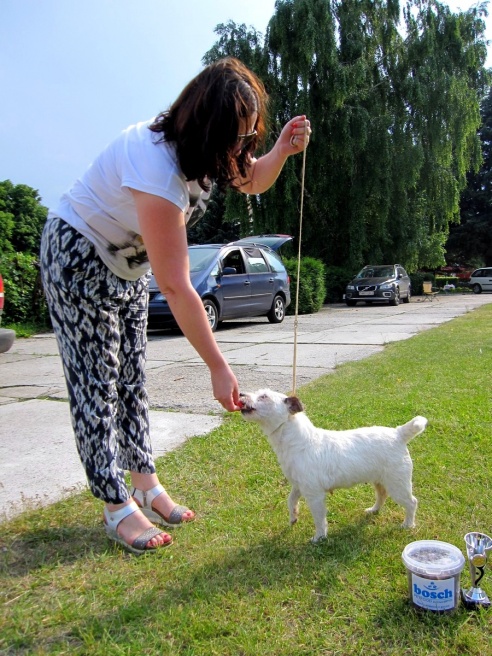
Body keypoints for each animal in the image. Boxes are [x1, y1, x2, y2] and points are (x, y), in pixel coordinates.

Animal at [238, 390, 426, 544]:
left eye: (264, 396)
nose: (240, 394)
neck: (299, 441)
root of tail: (399, 434)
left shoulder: (314, 495)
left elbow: (319, 519)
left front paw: (319, 537)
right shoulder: (299, 485)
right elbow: (290, 500)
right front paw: (293, 517)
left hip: (398, 484)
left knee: (412, 502)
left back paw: (408, 524)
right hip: (380, 480)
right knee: (382, 495)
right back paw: (374, 510)